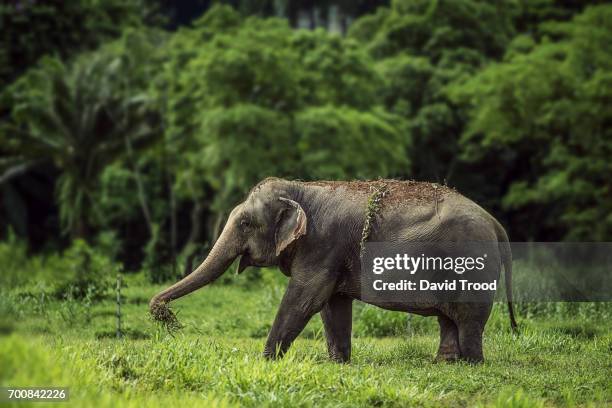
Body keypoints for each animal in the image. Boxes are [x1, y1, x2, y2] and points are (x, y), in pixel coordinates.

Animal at [149, 177, 516, 362]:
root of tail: (496, 224)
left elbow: (305, 297)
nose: (158, 309)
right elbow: (332, 304)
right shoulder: (335, 253)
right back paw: (444, 363)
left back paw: (472, 364)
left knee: (468, 320)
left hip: (471, 264)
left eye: (246, 223)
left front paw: (264, 360)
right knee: (448, 320)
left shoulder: (324, 243)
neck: (303, 188)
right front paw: (339, 363)